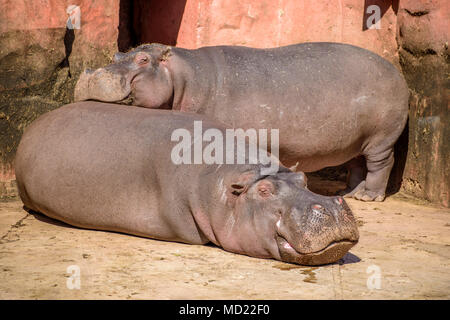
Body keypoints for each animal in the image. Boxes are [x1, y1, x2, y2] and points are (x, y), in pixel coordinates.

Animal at [75, 42, 410, 202]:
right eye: (117, 54)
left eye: (143, 60)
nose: (90, 75)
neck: (184, 77)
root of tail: (397, 71)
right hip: (356, 139)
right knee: (358, 164)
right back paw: (349, 193)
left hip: (381, 138)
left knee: (382, 163)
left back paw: (369, 197)